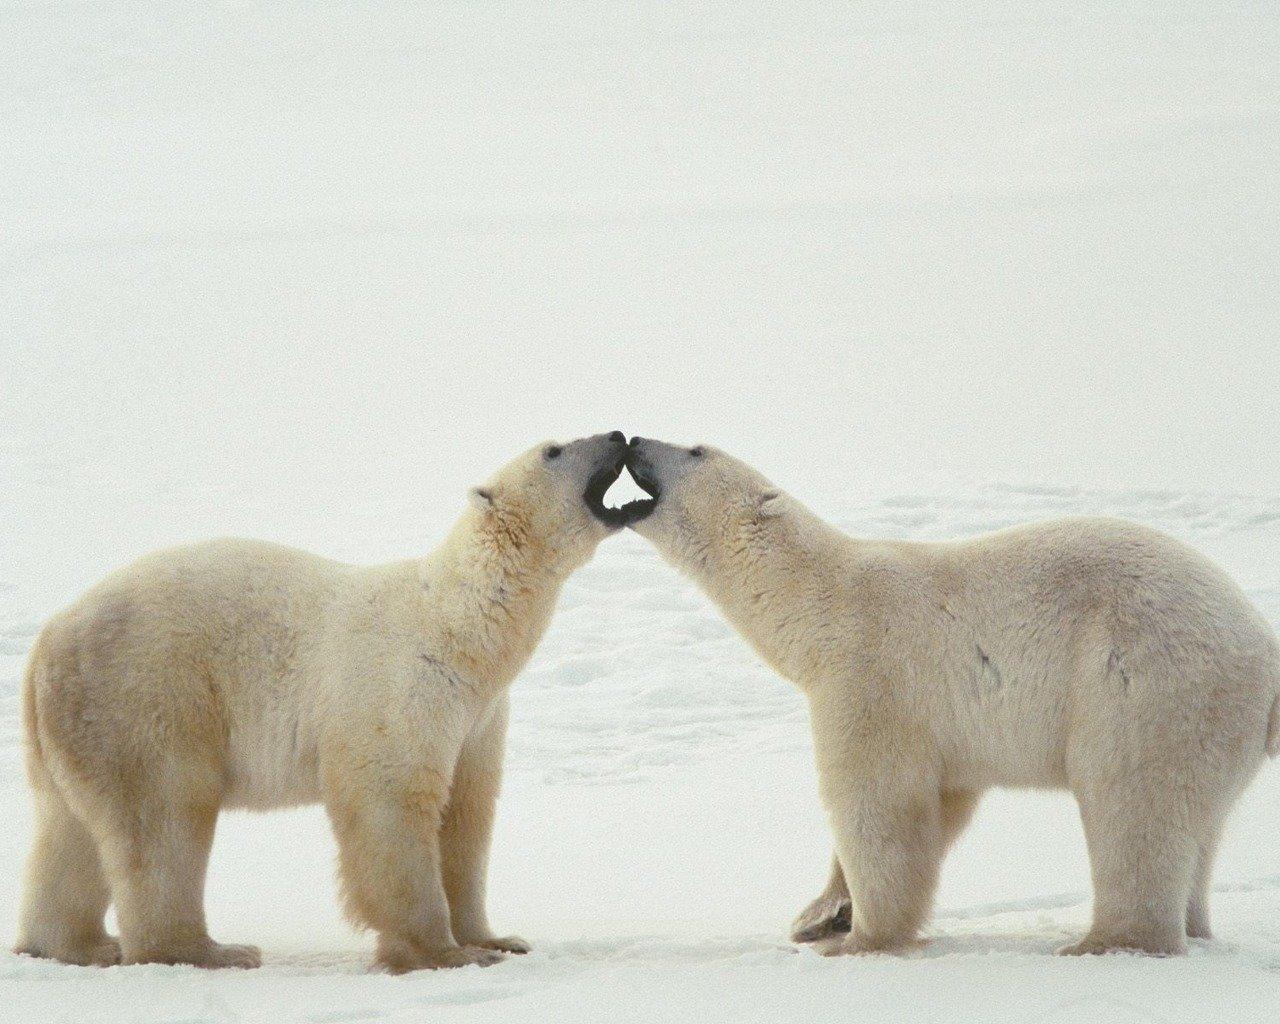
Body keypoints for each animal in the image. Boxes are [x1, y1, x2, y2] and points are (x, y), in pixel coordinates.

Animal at [15, 431, 635, 972]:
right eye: (554, 449)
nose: (617, 434)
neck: (460, 629)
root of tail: (46, 643)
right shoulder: (401, 687)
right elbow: (392, 802)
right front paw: (442, 952)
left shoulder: (479, 717)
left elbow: (467, 812)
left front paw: (497, 938)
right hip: (145, 695)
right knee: (163, 817)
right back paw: (208, 951)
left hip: (78, 726)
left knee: (68, 832)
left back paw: (73, 944)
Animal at [623, 435, 1280, 957]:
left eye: (695, 449)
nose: (633, 441)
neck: (820, 602)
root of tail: (1265, 655)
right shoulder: (945, 725)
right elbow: (943, 802)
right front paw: (820, 914)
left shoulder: (872, 675)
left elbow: (878, 805)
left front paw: (859, 938)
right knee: (1200, 826)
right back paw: (1193, 927)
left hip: (1146, 685)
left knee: (1133, 806)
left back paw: (1104, 941)